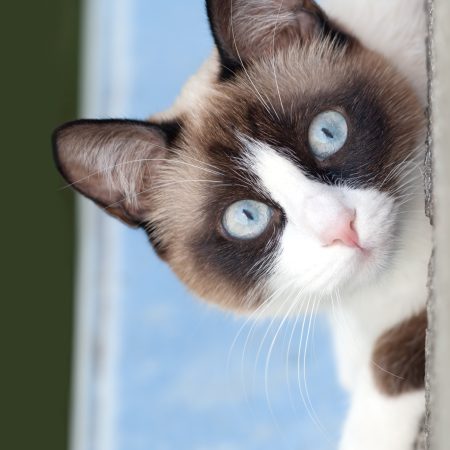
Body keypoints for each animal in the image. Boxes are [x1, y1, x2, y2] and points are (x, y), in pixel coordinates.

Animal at [52, 0, 428, 450]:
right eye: (246, 217)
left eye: (328, 132)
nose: (342, 228)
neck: (375, 295)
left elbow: (393, 356)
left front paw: (368, 431)